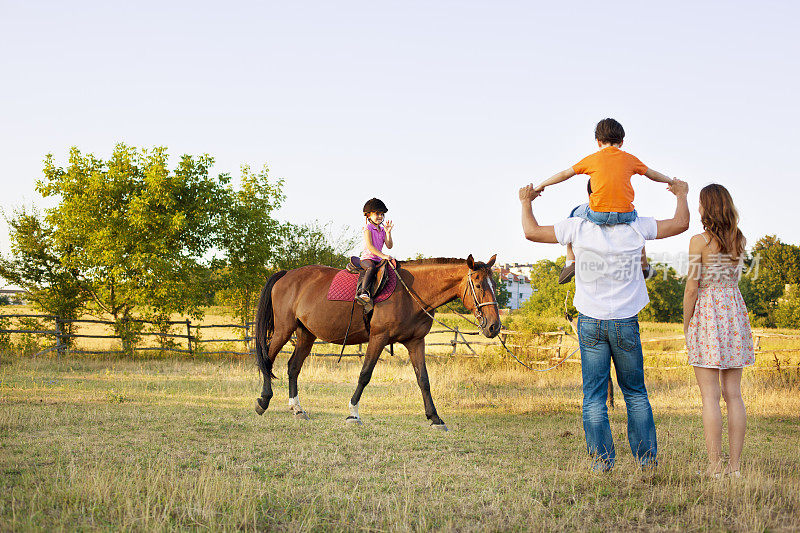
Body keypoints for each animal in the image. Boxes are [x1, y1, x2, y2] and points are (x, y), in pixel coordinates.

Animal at [253, 252, 500, 428]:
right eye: (479, 285)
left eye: (495, 286)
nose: (494, 326)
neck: (410, 293)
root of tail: (286, 274)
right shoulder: (378, 338)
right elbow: (365, 375)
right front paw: (353, 414)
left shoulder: (415, 342)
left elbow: (423, 379)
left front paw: (435, 418)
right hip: (284, 330)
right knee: (267, 359)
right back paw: (263, 401)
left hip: (306, 334)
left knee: (293, 367)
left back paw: (297, 409)